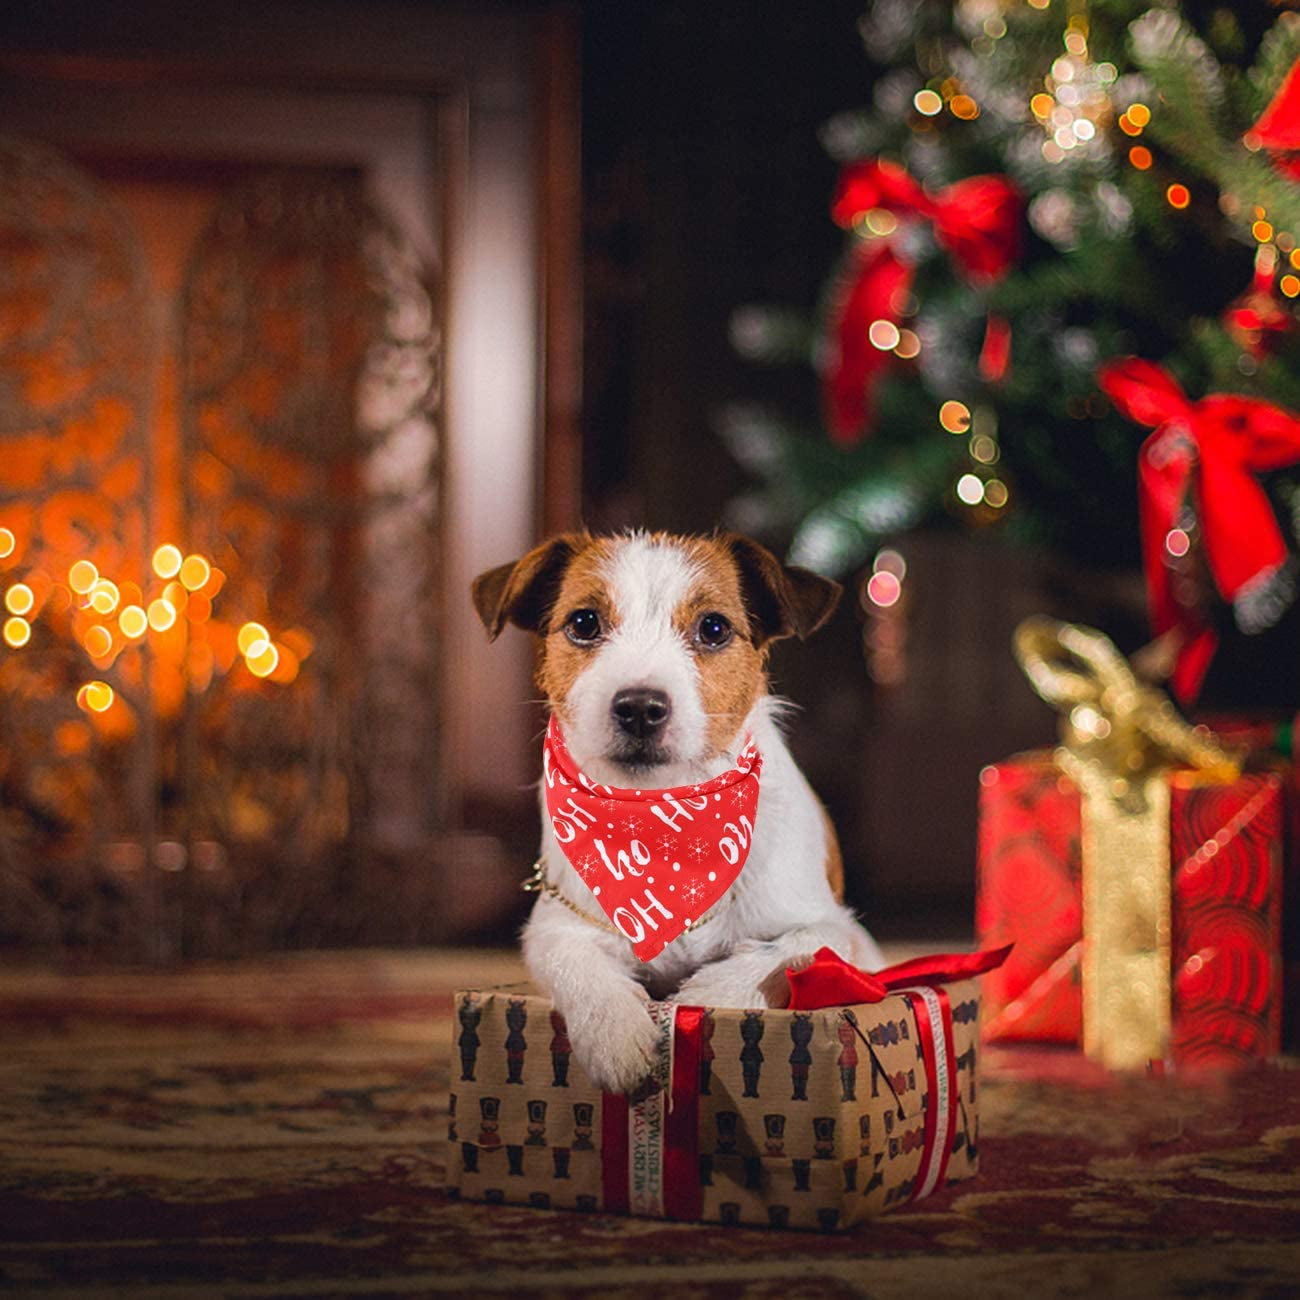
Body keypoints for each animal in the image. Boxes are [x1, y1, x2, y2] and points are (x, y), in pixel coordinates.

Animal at [473, 530, 889, 1097]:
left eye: (713, 628)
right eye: (584, 622)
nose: (640, 708)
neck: (668, 826)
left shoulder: (832, 928)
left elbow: (787, 953)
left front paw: (701, 1000)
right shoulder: (556, 928)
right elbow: (576, 964)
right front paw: (616, 1033)